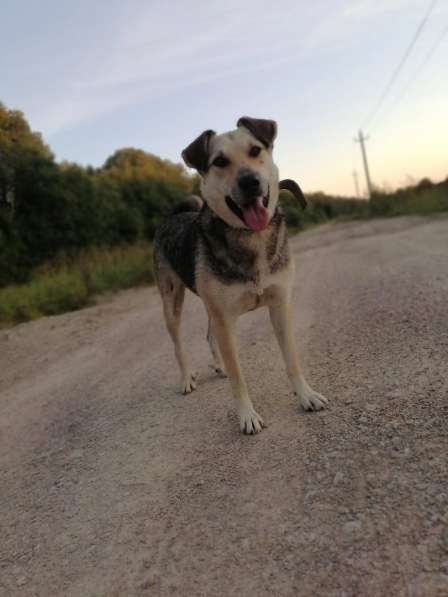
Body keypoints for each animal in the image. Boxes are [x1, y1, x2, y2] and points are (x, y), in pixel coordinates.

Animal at [155, 116, 328, 434]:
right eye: (220, 161)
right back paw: (187, 378)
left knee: (208, 334)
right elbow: (239, 378)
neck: (251, 237)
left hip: (210, 305)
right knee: (178, 345)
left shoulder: (280, 306)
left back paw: (219, 365)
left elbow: (292, 360)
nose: (250, 181)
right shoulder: (226, 319)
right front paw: (247, 416)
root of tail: (173, 215)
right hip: (171, 302)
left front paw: (306, 396)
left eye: (255, 150)